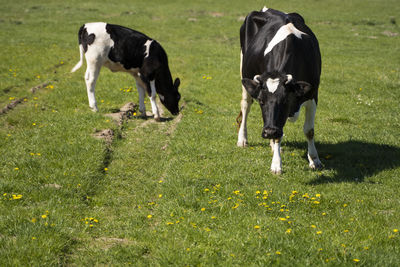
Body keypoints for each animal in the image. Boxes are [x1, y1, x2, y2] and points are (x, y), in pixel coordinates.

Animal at [238, 6, 322, 175]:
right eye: (261, 101)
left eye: (285, 100)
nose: (269, 132)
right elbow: (279, 135)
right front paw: (276, 164)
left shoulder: (312, 95)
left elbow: (309, 130)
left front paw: (314, 159)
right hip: (243, 70)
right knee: (245, 105)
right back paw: (242, 139)